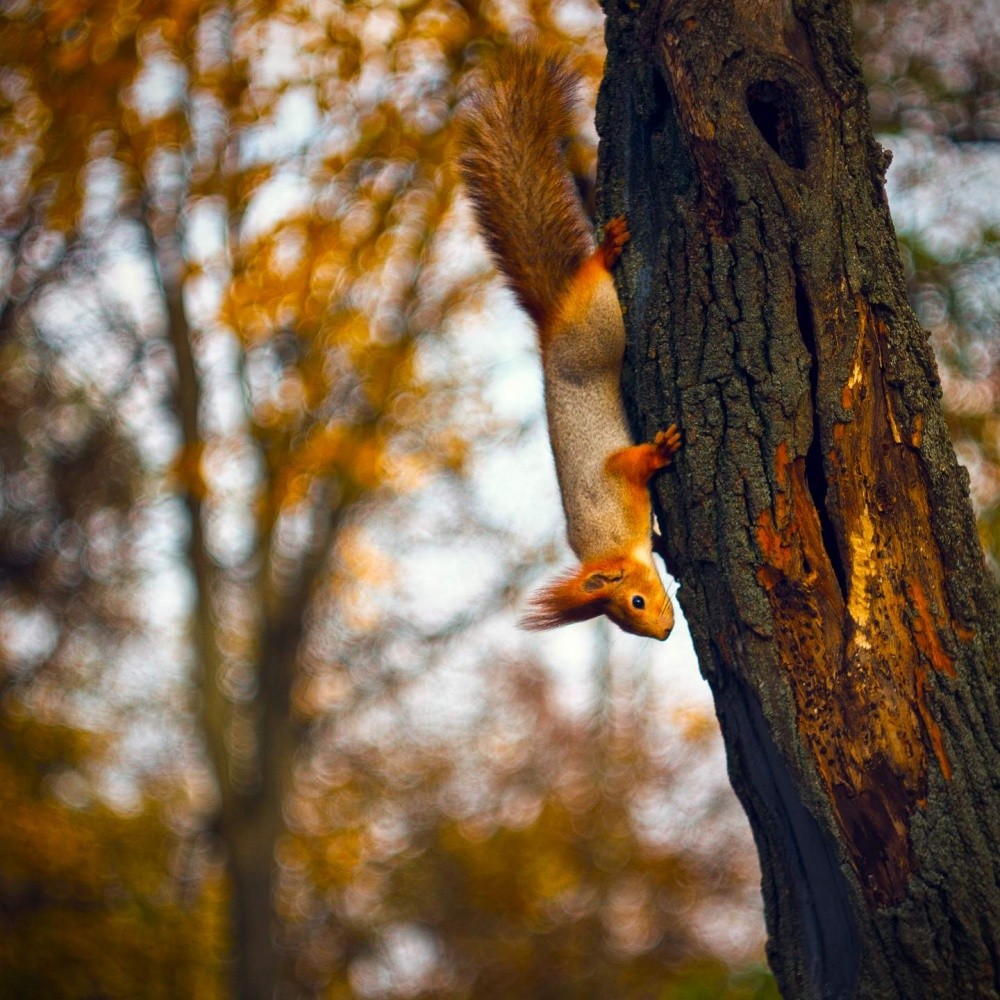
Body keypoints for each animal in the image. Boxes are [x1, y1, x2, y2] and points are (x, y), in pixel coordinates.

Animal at [455, 42, 681, 641]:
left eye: (637, 602)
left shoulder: (614, 476)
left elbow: (635, 461)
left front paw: (663, 449)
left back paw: (607, 248)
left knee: (594, 272)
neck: (608, 542)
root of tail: (552, 317)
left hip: (597, 321)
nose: (665, 634)